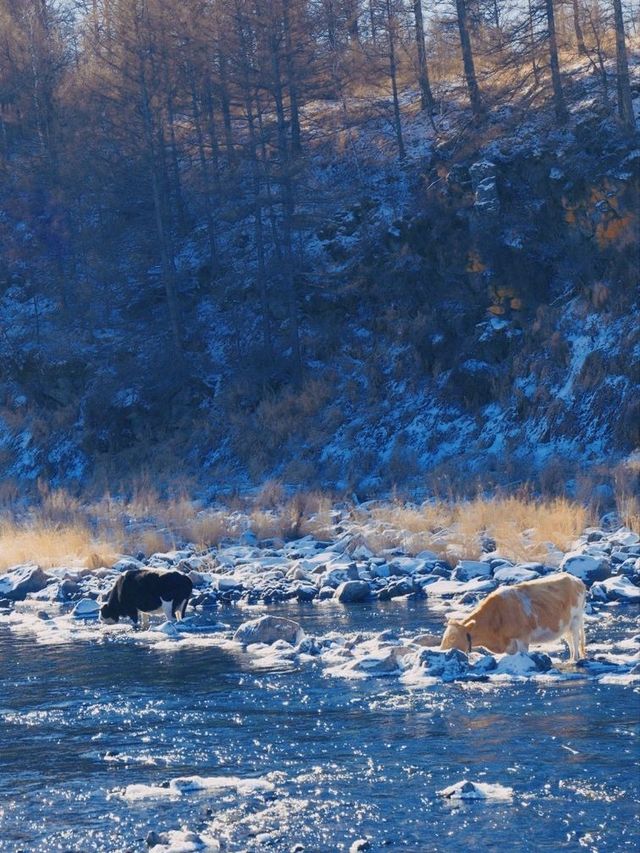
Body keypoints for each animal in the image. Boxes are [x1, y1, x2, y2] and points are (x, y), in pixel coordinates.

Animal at [440, 572, 584, 660]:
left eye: (452, 637)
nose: (442, 652)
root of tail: (575, 579)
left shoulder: (522, 639)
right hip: (564, 626)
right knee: (570, 642)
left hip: (576, 621)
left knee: (575, 642)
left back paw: (574, 660)